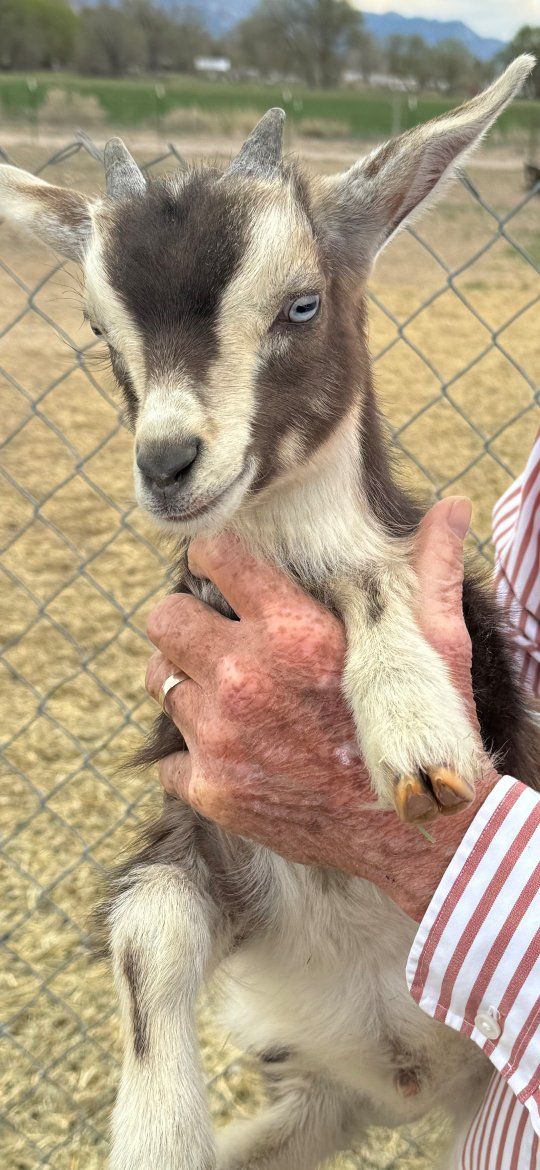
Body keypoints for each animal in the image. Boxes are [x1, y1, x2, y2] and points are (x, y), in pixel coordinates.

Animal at [1, 55, 538, 1170]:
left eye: (300, 305)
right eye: (99, 330)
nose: (168, 462)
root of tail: (404, 1091)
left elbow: (371, 578)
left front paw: (415, 726)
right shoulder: (202, 828)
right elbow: (149, 932)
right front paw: (157, 1138)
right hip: (313, 1108)